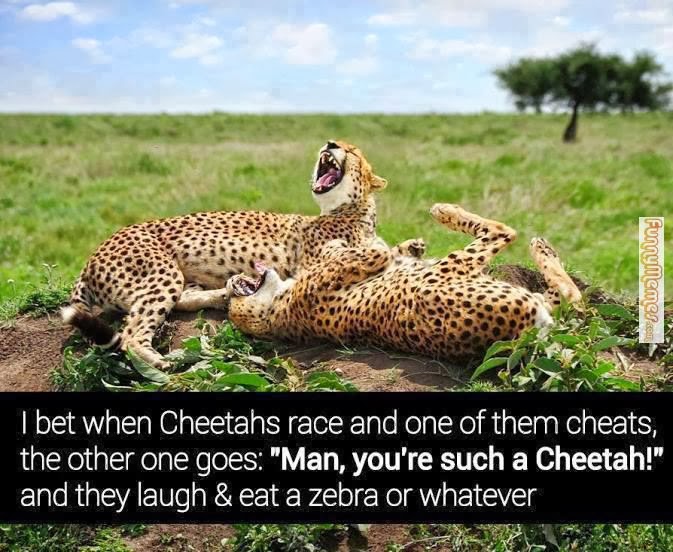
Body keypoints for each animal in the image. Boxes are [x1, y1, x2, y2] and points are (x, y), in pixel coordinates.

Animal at [61, 140, 400, 368]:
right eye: (338, 145)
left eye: (352, 150)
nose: (330, 144)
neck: (352, 210)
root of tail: (92, 257)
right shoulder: (314, 265)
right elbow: (355, 256)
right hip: (160, 271)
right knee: (131, 334)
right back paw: (158, 362)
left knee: (180, 299)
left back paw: (221, 294)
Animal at [225, 203, 582, 362]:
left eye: (232, 298)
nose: (233, 281)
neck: (275, 309)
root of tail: (523, 335)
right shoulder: (364, 260)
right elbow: (367, 251)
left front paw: (410, 247)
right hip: (442, 276)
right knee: (510, 237)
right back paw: (447, 211)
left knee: (567, 296)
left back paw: (544, 248)